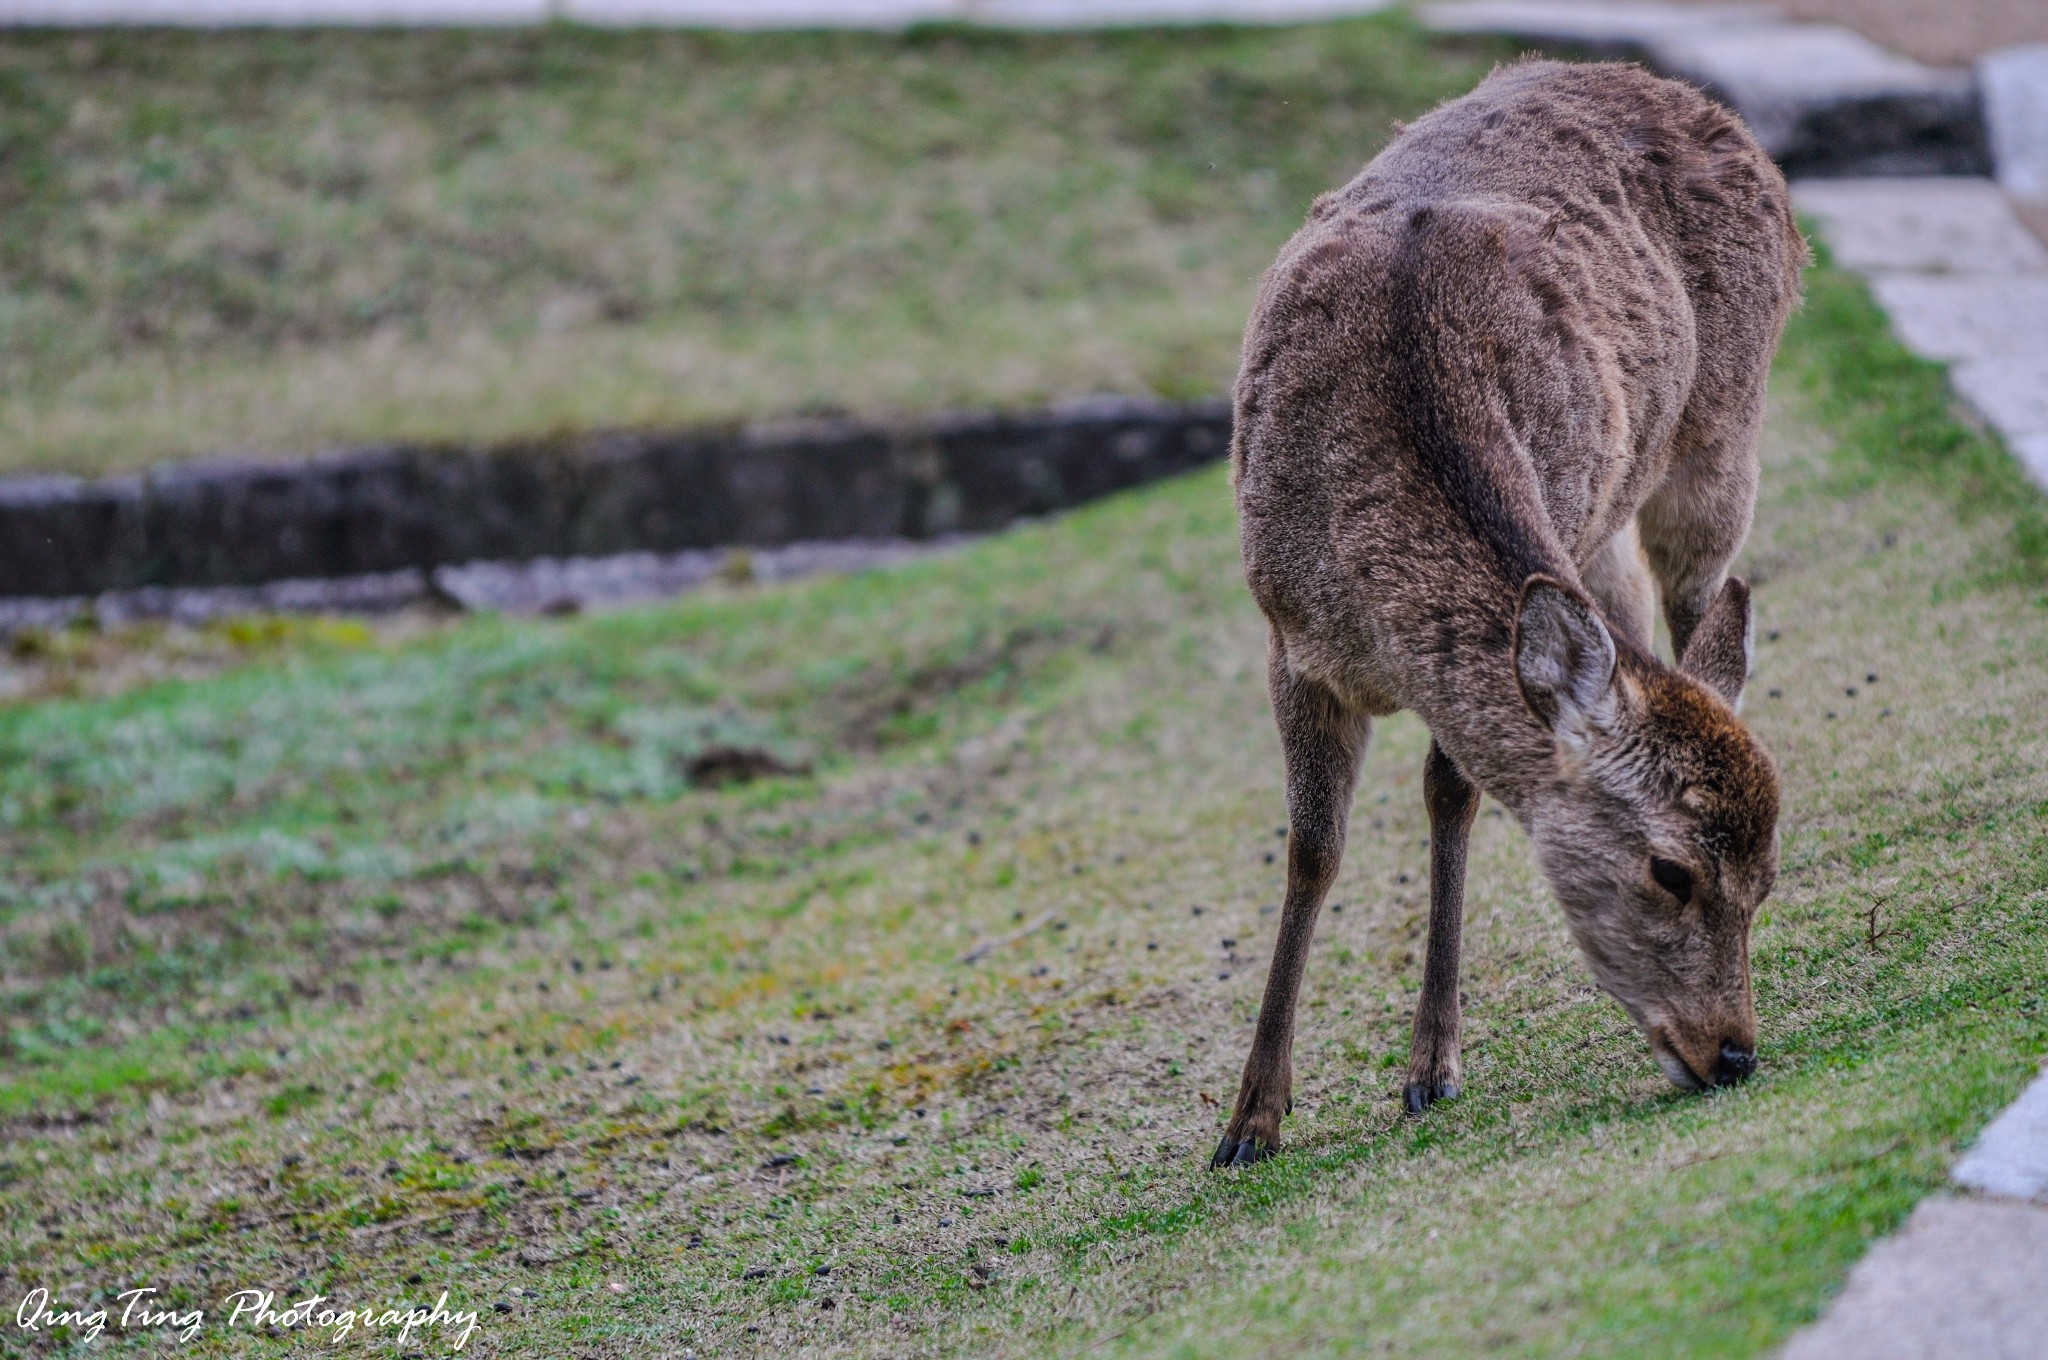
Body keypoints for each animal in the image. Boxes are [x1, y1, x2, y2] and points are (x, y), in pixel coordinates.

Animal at [1212, 61, 1810, 1171]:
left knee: (1702, 608)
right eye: (1669, 870)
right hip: (1603, 528)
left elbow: (1451, 790)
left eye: (1764, 884)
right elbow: (1312, 848)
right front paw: (1247, 1121)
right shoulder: (1288, 638)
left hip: (1718, 441)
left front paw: (1430, 1066)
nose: (1733, 1053)